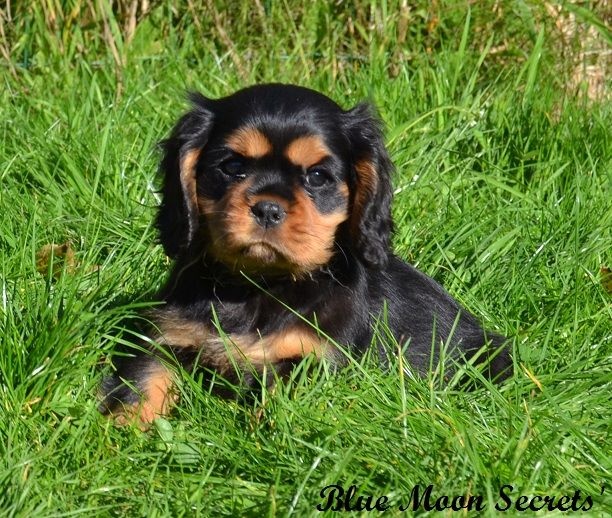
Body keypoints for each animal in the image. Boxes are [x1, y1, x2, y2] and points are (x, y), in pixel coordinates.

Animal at [101, 84, 512, 426]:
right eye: (232, 166)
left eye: (317, 177)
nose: (268, 208)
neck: (257, 285)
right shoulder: (166, 335)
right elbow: (143, 381)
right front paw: (122, 434)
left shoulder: (313, 361)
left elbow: (280, 403)